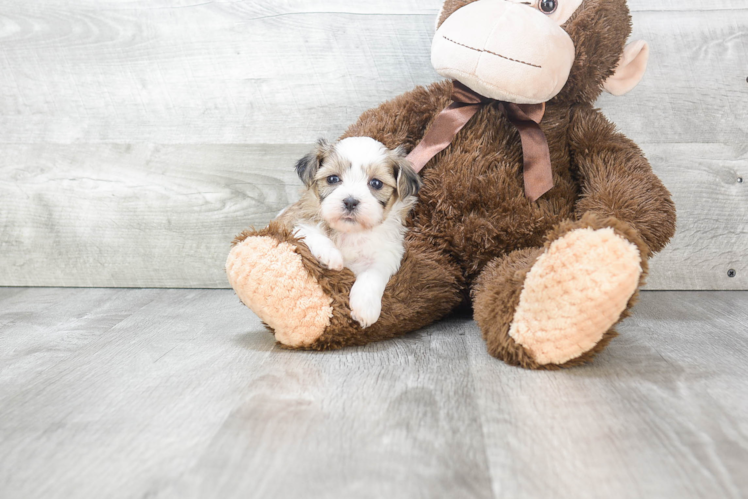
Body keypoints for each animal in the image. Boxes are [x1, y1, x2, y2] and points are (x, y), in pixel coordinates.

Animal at [278, 137, 424, 328]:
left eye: (376, 183)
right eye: (333, 178)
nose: (350, 202)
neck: (350, 231)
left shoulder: (386, 253)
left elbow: (373, 274)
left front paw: (366, 307)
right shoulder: (297, 222)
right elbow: (313, 234)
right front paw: (331, 256)